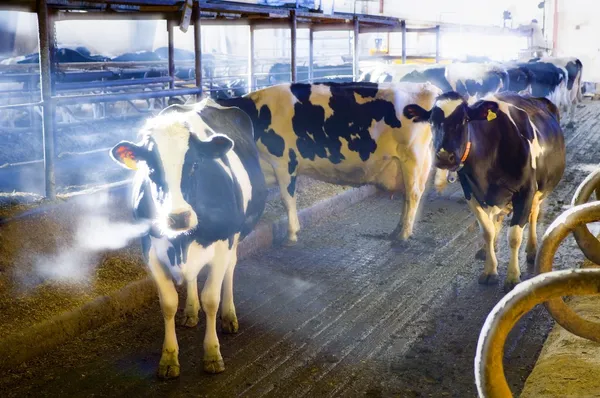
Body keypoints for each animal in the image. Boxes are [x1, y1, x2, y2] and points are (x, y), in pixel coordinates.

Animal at [108, 98, 268, 378]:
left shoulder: (223, 240)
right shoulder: (149, 247)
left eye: (195, 164)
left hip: (236, 235)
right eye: (150, 169)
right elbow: (168, 303)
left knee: (230, 268)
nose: (178, 217)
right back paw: (191, 311)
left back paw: (229, 315)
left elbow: (211, 298)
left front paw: (212, 354)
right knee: (192, 277)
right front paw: (169, 357)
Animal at [216, 81, 440, 244]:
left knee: (413, 195)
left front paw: (291, 234)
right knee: (407, 198)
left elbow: (287, 199)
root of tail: (428, 88)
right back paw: (397, 231)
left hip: (413, 160)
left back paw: (403, 236)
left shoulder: (284, 163)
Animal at [406, 91, 564, 290]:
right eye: (432, 121)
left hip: (539, 191)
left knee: (533, 214)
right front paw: (490, 270)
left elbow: (514, 236)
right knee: (497, 217)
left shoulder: (526, 192)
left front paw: (512, 277)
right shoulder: (471, 193)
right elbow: (487, 231)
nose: (444, 157)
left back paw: (532, 249)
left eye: (465, 120)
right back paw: (487, 249)